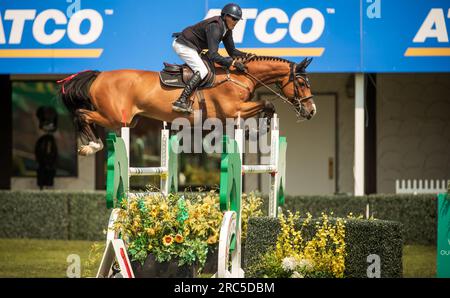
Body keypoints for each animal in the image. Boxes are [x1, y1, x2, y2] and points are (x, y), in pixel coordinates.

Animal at [57, 55, 316, 156]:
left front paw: (255, 132)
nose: (312, 111)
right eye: (302, 83)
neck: (239, 76)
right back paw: (91, 145)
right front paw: (258, 131)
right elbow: (267, 103)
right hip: (114, 117)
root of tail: (99, 76)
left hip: (128, 120)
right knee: (81, 114)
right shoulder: (233, 110)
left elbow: (267, 107)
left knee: (83, 114)